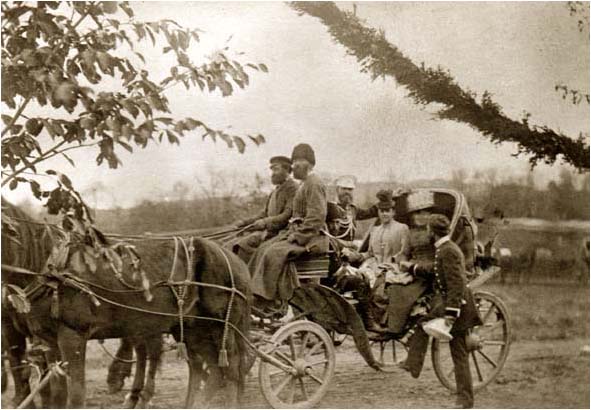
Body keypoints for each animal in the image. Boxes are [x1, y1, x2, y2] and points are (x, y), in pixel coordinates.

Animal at [11, 215, 252, 406]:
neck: (55, 274)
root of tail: (234, 258)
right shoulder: (50, 342)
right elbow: (59, 394)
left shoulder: (73, 337)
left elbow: (77, 395)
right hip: (192, 329)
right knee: (210, 372)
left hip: (222, 327)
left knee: (231, 369)